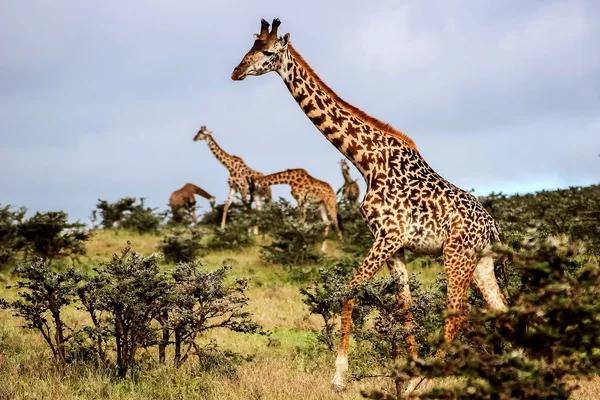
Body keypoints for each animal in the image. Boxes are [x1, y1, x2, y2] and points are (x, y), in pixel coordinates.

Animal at [232, 18, 508, 394]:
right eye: (251, 47)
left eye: (269, 52)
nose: (237, 71)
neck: (366, 159)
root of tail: (491, 227)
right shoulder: (395, 246)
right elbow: (405, 309)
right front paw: (405, 374)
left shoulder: (388, 236)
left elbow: (349, 290)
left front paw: (340, 377)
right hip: (481, 262)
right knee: (501, 309)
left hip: (456, 255)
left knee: (458, 314)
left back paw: (426, 382)